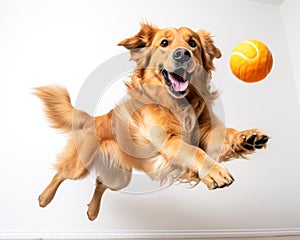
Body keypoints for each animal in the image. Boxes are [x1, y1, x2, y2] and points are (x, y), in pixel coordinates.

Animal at [34, 23, 268, 220]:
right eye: (164, 43)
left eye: (192, 43)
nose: (182, 54)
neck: (179, 105)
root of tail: (95, 118)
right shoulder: (169, 142)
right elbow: (195, 152)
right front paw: (215, 172)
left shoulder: (206, 133)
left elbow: (225, 133)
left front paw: (247, 137)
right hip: (79, 165)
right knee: (60, 173)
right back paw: (44, 198)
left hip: (120, 177)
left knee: (100, 182)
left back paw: (92, 211)